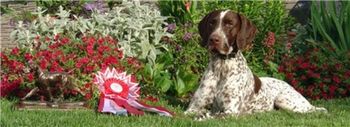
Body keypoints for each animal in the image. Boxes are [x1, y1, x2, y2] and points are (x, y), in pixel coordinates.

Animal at [185, 10, 326, 120]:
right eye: (211, 23)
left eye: (229, 24)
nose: (213, 39)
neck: (222, 65)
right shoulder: (193, 108)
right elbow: (189, 114)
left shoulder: (230, 111)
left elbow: (206, 116)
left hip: (286, 101)